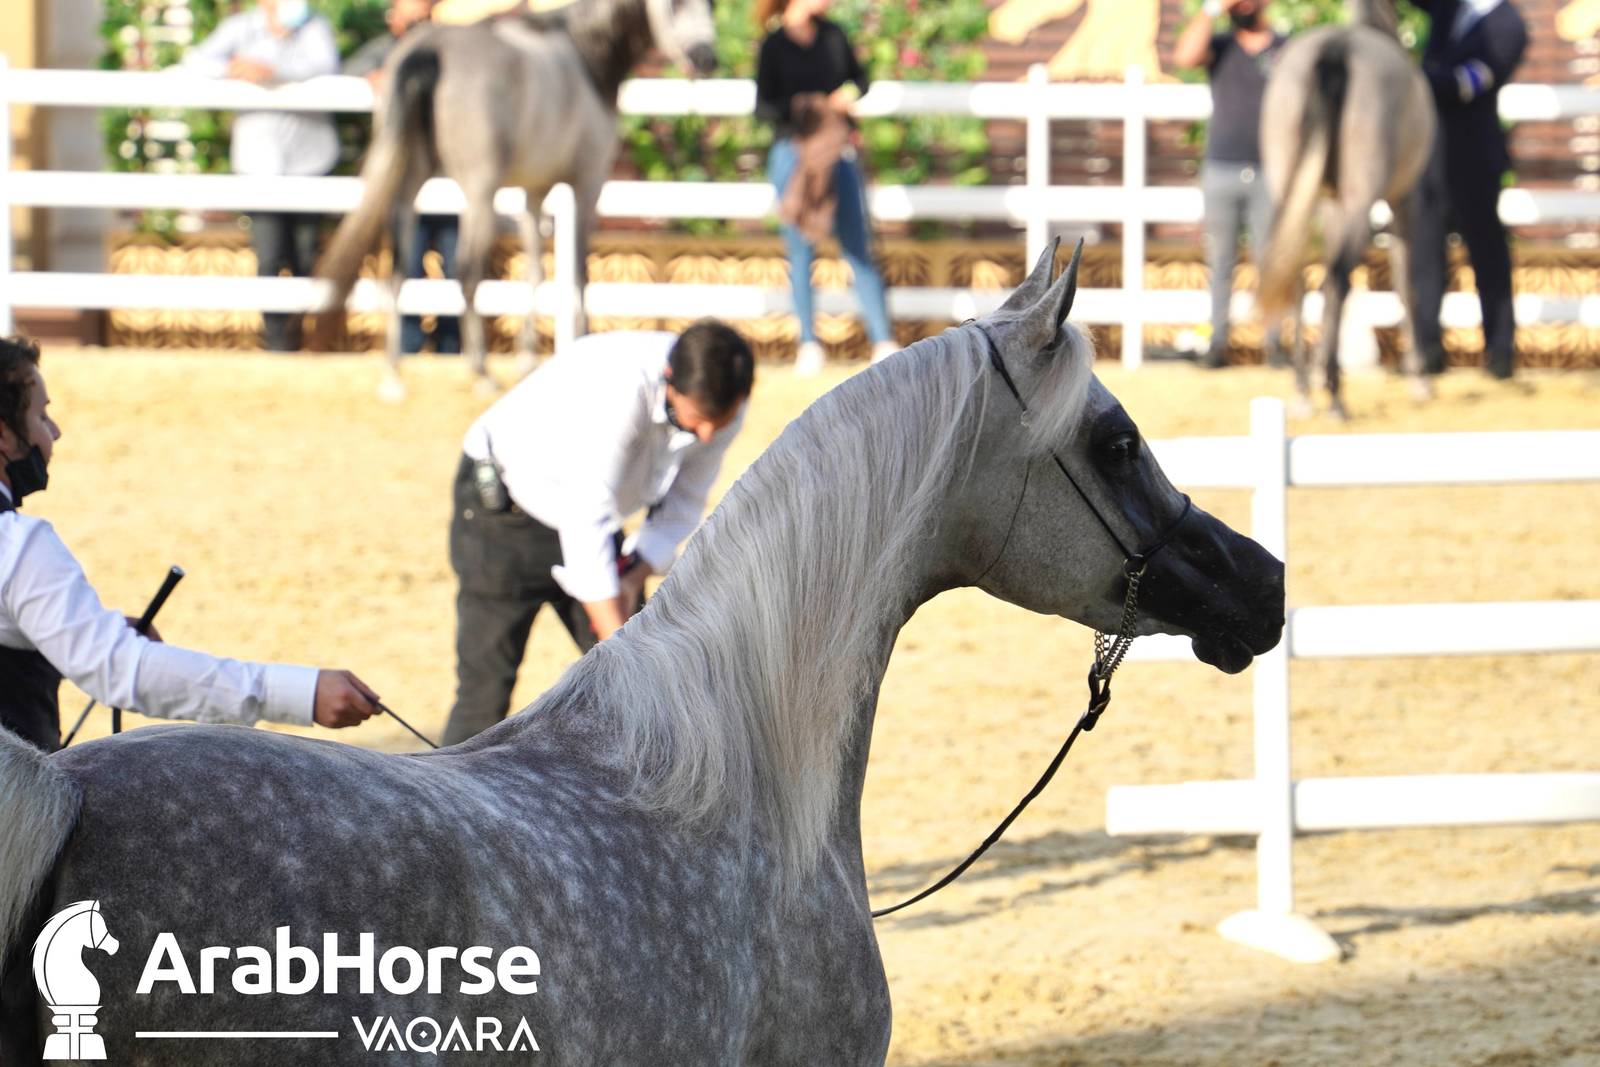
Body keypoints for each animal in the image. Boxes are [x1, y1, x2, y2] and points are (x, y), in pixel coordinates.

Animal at [316, 0, 718, 400]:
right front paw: (581, 341)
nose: (706, 57)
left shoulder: (533, 191)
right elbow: (579, 270)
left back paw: (393, 374)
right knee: (466, 270)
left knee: (399, 267)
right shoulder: (587, 180)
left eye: (712, 6)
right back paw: (480, 371)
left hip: (412, 176)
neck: (585, 53)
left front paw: (527, 359)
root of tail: (430, 49)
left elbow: (534, 269)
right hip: (479, 187)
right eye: (675, 4)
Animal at [1257, 0, 1435, 419]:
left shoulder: (1329, 202)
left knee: (1297, 280)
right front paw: (1419, 377)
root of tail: (1337, 47)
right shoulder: (1405, 199)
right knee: (1338, 278)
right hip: (1362, 195)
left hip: (1291, 188)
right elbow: (1406, 281)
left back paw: (1303, 388)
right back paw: (1335, 393)